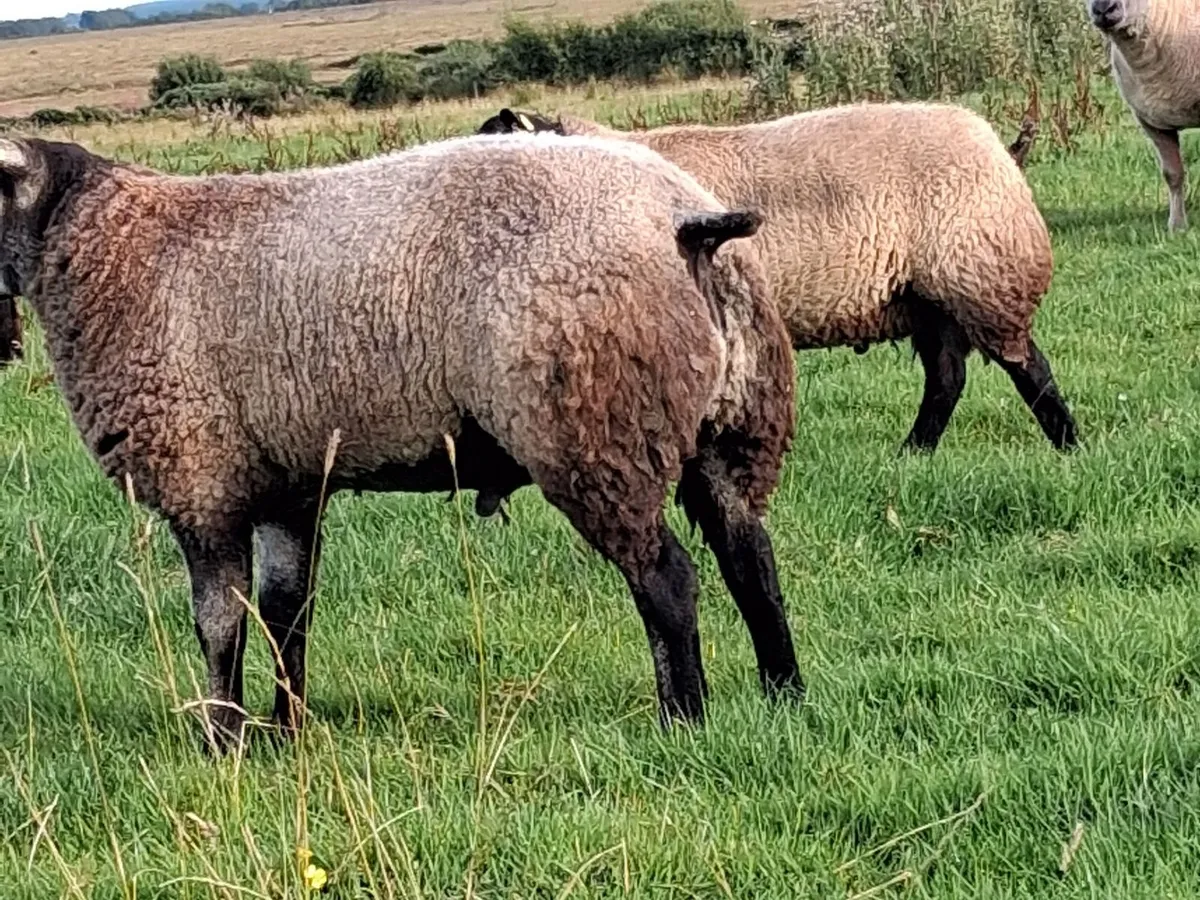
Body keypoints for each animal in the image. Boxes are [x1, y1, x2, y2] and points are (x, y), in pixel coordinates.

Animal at [0, 132, 802, 749]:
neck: (101, 243)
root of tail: (686, 219)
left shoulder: (201, 480)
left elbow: (220, 623)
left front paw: (222, 740)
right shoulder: (289, 485)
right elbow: (288, 612)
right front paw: (286, 732)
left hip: (596, 430)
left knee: (668, 579)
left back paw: (683, 720)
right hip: (733, 425)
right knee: (750, 562)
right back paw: (783, 697)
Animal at [478, 102, 1079, 455]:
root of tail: (999, 148)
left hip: (980, 274)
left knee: (1028, 367)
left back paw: (1069, 445)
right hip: (929, 298)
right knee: (947, 380)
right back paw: (913, 452)